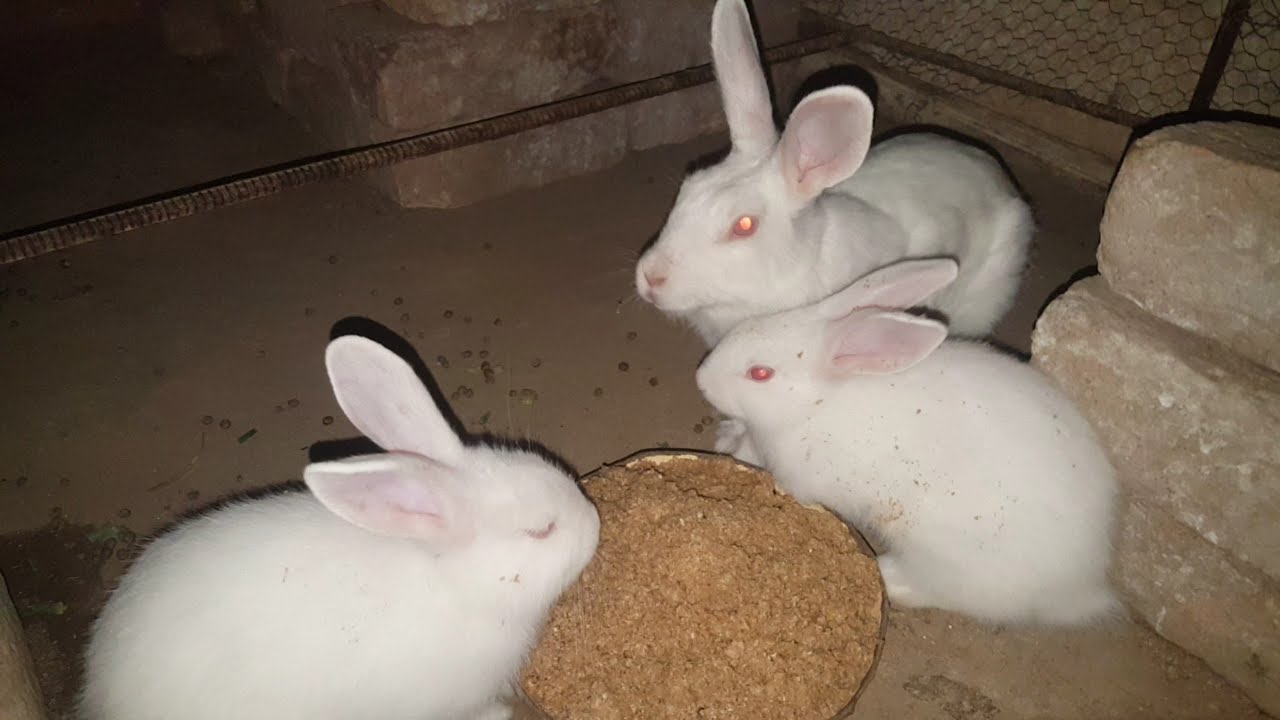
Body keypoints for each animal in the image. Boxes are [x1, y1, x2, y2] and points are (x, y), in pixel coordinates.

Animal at [694, 258, 1120, 625]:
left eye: (760, 373)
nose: (701, 378)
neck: (817, 402)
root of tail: (1084, 585)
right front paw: (727, 440)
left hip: (949, 559)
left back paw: (890, 576)